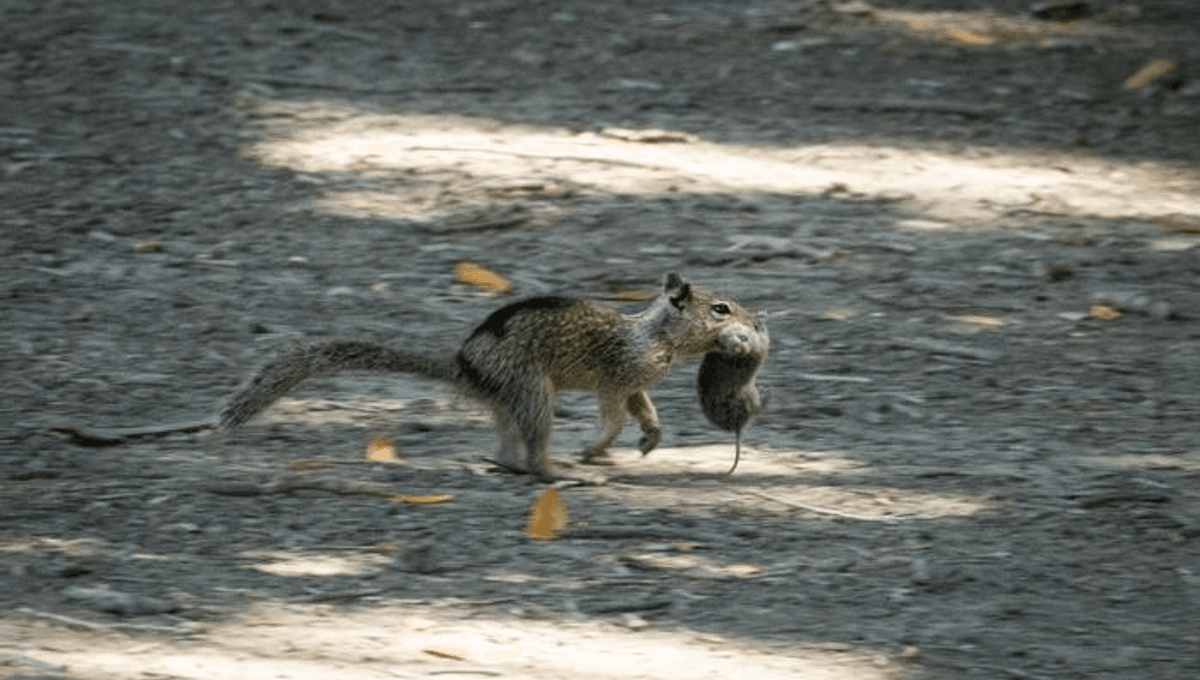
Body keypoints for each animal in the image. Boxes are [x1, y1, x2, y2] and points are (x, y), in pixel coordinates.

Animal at [697, 312, 769, 474]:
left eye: (743, 337)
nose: (739, 347)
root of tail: (737, 427)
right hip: (749, 398)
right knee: (757, 408)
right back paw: (766, 393)